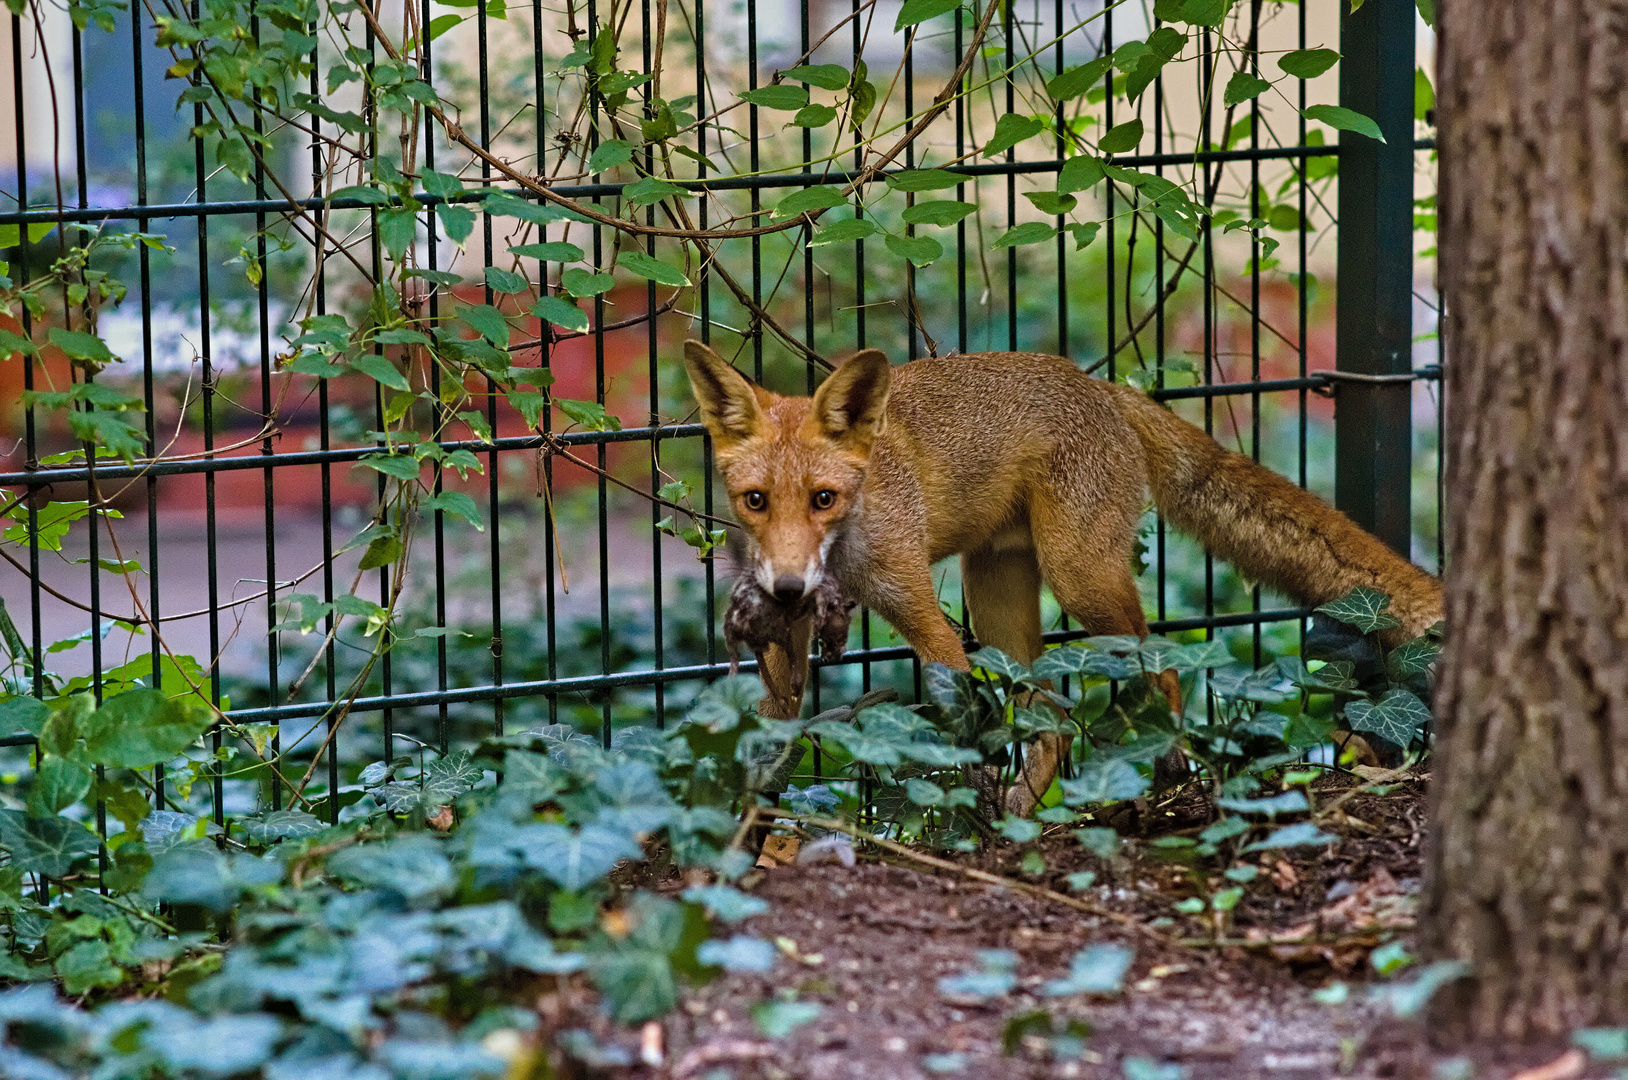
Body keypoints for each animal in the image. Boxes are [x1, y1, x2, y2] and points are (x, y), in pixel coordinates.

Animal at [680, 342, 1445, 814]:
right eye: (755, 501)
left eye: (824, 499)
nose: (786, 586)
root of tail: (1105, 387)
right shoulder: (791, 636)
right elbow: (771, 730)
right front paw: (747, 821)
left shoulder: (920, 608)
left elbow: (964, 725)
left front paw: (970, 815)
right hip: (998, 603)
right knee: (1053, 722)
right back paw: (1029, 815)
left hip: (1079, 581)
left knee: (1162, 665)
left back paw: (1167, 778)